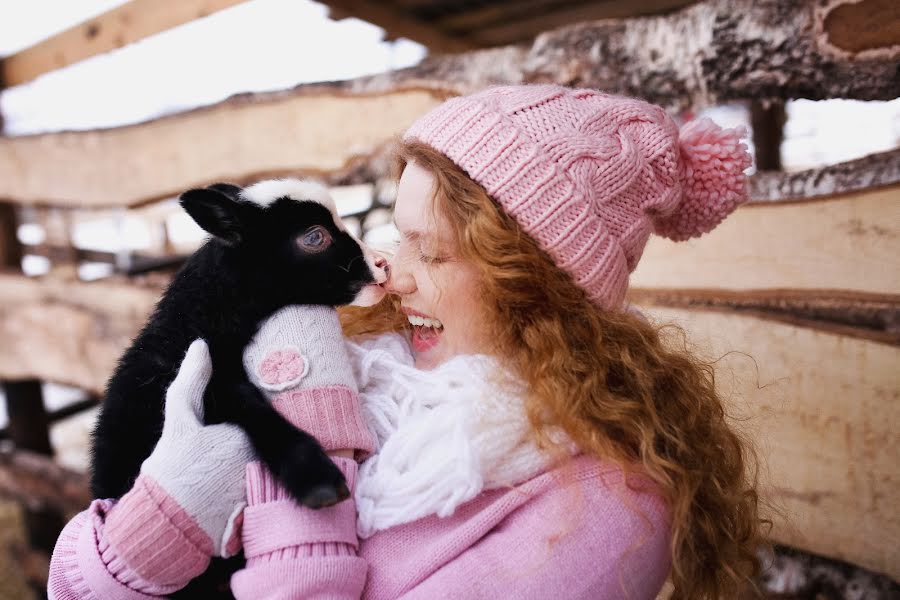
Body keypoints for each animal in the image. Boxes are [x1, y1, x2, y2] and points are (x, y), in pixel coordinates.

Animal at [90, 179, 386, 510]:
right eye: (314, 236)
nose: (382, 264)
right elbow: (249, 406)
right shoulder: (213, 383)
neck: (193, 324)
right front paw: (318, 481)